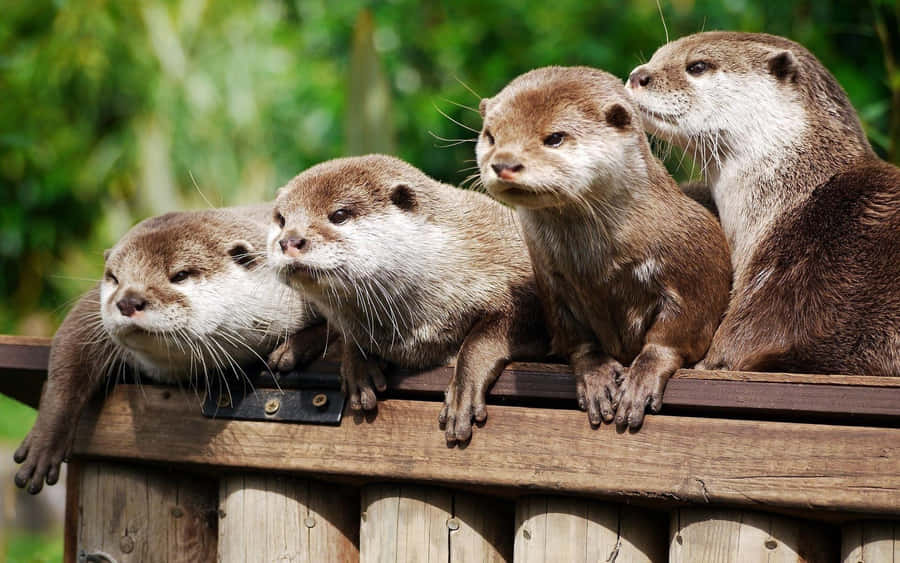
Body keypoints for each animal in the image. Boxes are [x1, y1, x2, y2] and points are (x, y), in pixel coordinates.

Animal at [14, 206, 325, 493]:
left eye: (181, 274)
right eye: (114, 278)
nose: (128, 300)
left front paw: (293, 349)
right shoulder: (92, 310)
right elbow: (71, 348)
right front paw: (44, 441)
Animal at [267, 154, 549, 443]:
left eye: (339, 215)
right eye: (281, 219)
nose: (289, 241)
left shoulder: (521, 279)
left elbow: (483, 338)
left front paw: (463, 392)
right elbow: (347, 333)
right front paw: (358, 363)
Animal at [477, 66, 731, 428]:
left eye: (555, 137)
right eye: (491, 136)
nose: (504, 163)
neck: (599, 270)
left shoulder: (697, 267)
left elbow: (674, 335)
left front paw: (641, 379)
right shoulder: (552, 283)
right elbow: (576, 339)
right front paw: (595, 376)